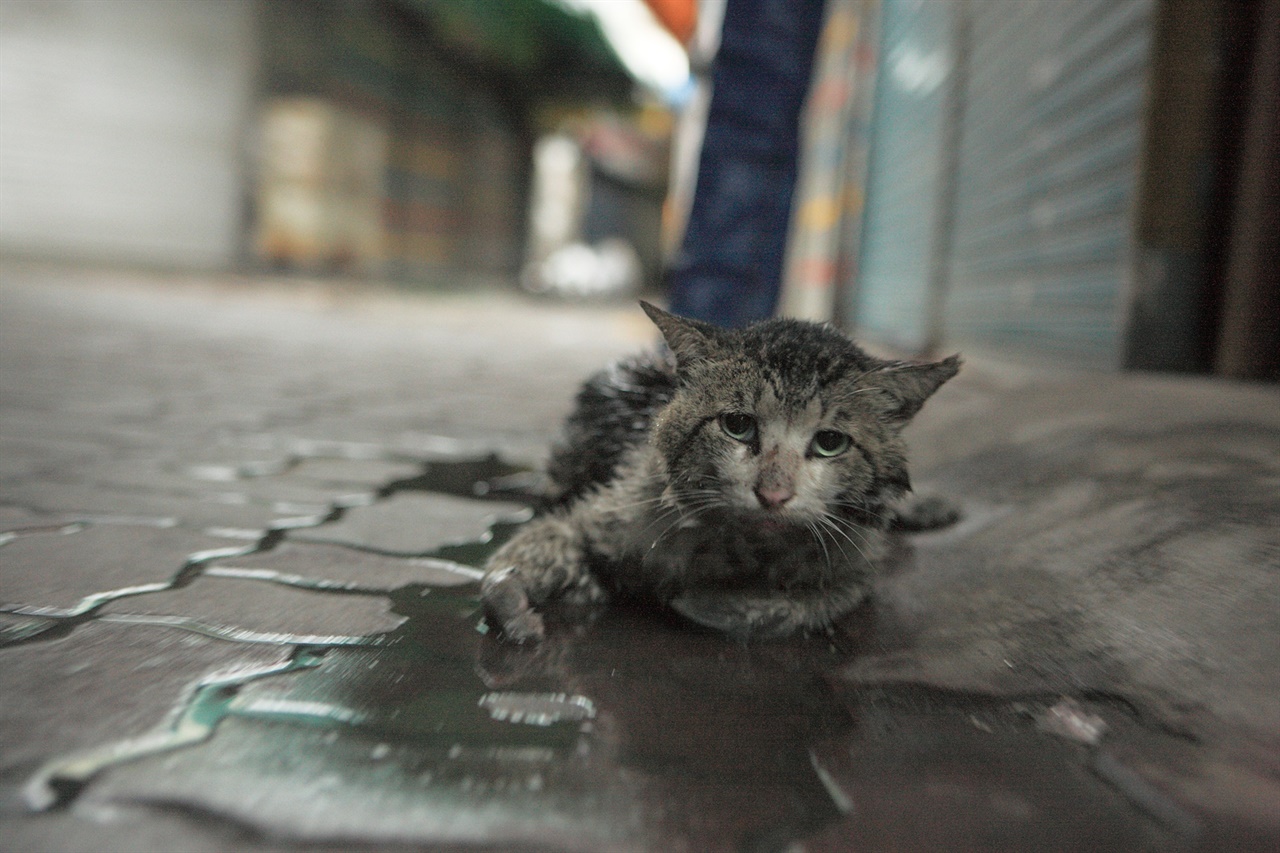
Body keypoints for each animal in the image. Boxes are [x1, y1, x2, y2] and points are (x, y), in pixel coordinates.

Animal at [481, 298, 962, 637]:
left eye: (830, 443)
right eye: (737, 426)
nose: (773, 494)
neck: (746, 549)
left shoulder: (855, 561)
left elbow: (816, 600)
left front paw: (715, 603)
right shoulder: (602, 512)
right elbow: (526, 555)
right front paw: (518, 599)